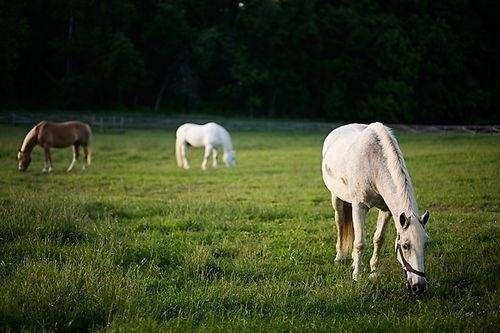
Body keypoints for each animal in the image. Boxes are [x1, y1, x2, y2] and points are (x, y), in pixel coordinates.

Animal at [324, 122, 430, 294]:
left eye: (426, 244)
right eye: (405, 246)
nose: (419, 286)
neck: (374, 164)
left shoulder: (386, 210)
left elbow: (379, 239)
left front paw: (373, 270)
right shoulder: (359, 207)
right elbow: (360, 243)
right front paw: (357, 276)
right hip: (337, 198)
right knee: (340, 223)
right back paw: (340, 257)